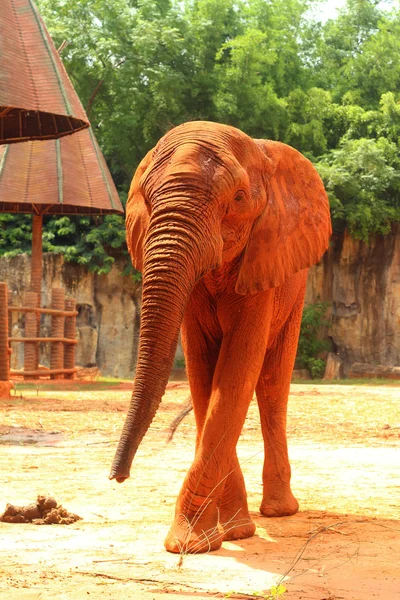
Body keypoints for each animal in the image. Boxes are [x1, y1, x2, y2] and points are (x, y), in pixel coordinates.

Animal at [110, 120, 332, 552]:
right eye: (147, 198)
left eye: (239, 199)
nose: (118, 477)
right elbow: (202, 373)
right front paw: (228, 533)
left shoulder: (263, 259)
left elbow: (235, 371)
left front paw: (190, 543)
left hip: (296, 286)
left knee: (273, 383)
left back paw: (279, 511)